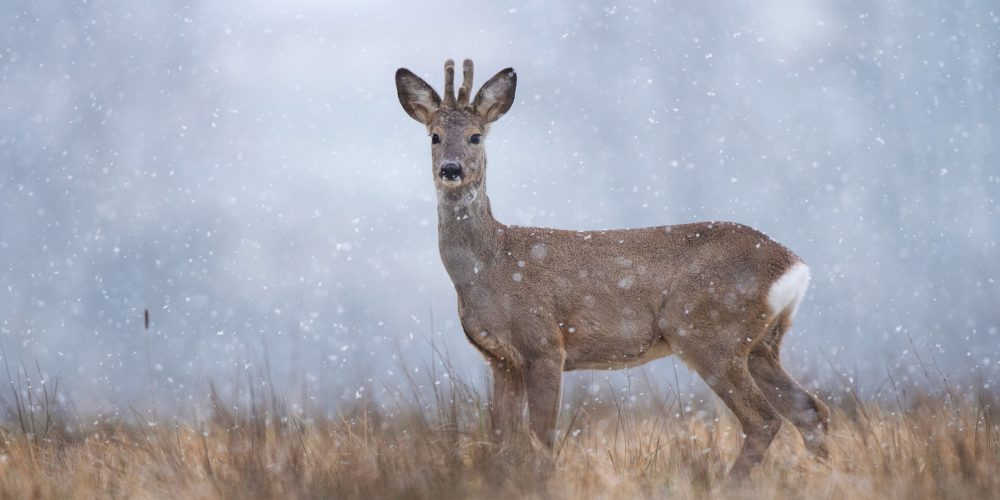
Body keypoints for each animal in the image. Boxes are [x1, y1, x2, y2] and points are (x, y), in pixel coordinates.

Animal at [394, 58, 832, 476]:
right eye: (434, 136)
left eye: (476, 136)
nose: (451, 169)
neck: (488, 267)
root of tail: (794, 266)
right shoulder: (499, 359)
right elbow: (503, 440)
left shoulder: (544, 344)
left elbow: (542, 439)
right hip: (760, 343)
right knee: (810, 410)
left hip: (709, 331)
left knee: (764, 419)